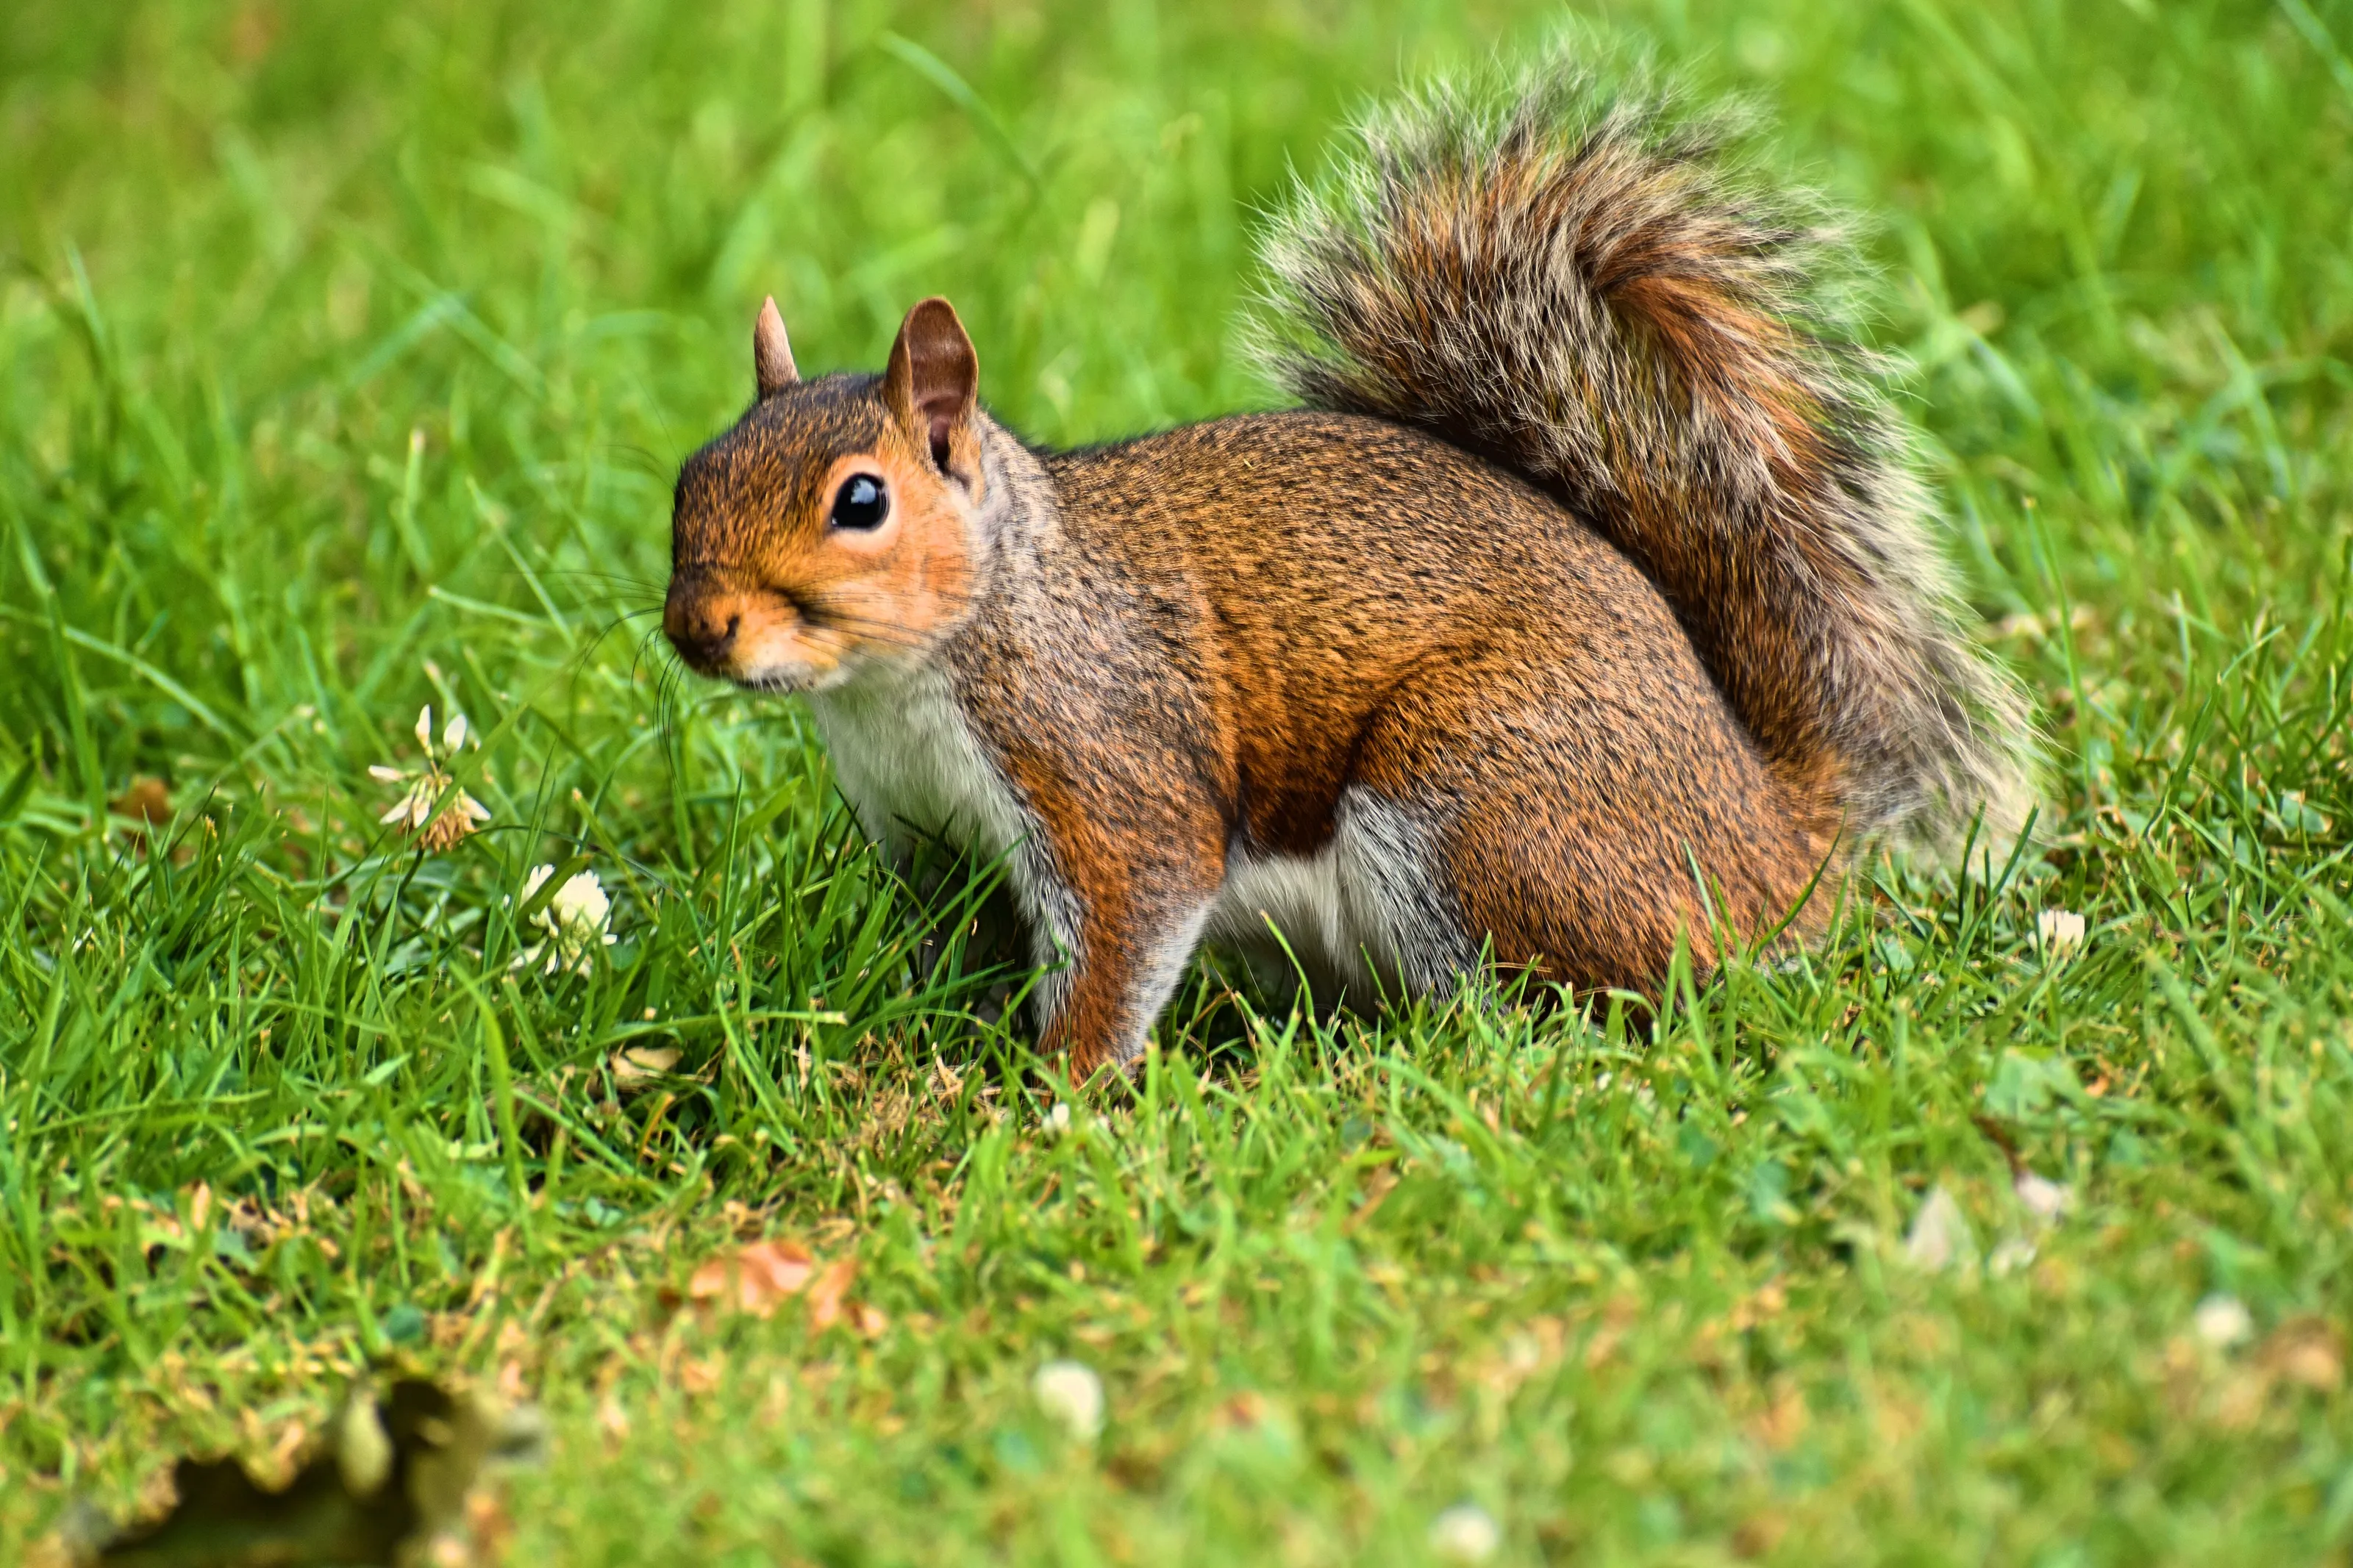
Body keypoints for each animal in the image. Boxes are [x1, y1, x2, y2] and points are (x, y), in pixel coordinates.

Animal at [662, 65, 2033, 1077]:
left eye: (861, 501)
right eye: (689, 476)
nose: (697, 627)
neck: (912, 673)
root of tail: (1776, 838)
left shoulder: (1107, 767)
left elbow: (1128, 927)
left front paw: (1053, 1092)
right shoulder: (929, 836)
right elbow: (953, 950)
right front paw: (923, 1050)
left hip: (1484, 794)